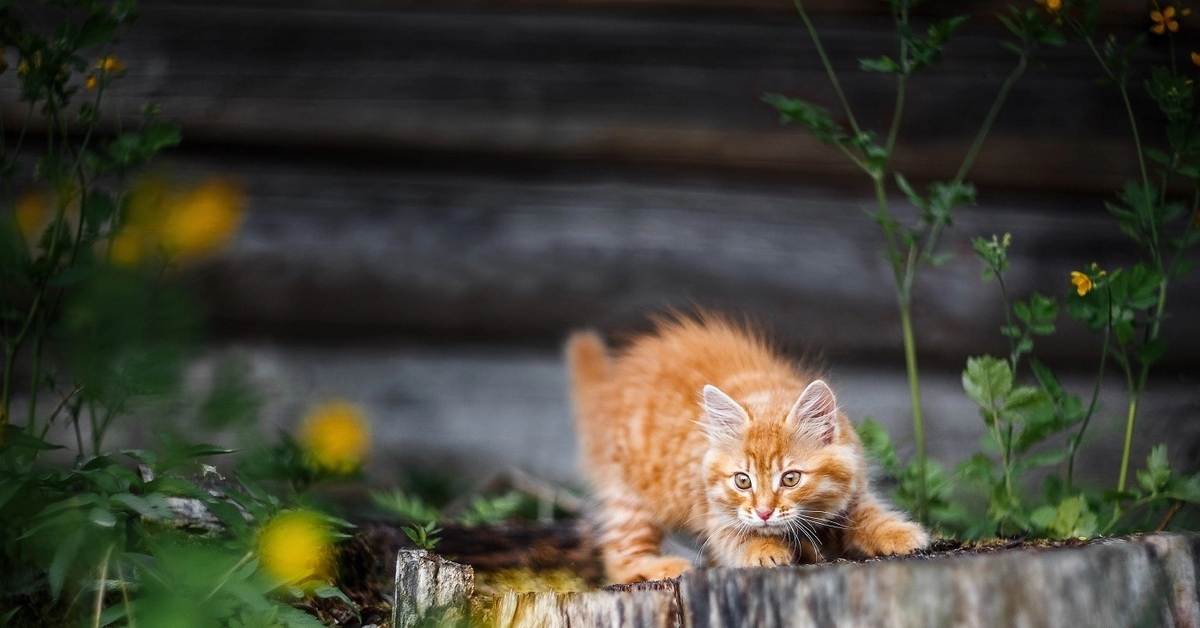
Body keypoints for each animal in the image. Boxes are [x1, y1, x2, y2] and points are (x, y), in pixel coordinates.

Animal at [566, 314, 931, 585]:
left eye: (791, 478)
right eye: (743, 481)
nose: (764, 512)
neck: (768, 395)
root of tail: (608, 389)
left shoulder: (855, 489)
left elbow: (869, 515)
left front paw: (900, 533)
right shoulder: (716, 516)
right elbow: (738, 538)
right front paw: (765, 549)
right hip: (629, 496)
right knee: (619, 556)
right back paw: (660, 567)